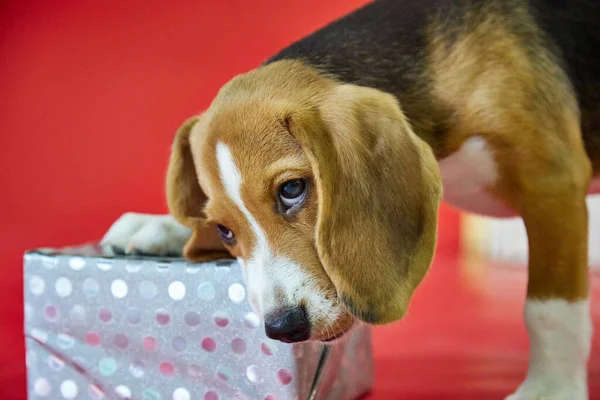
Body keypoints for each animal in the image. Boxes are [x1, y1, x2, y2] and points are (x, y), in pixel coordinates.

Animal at [104, 0, 600, 396]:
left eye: (292, 189)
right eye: (224, 230)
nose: (284, 328)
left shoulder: (553, 186)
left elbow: (550, 311)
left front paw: (550, 388)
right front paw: (160, 225)